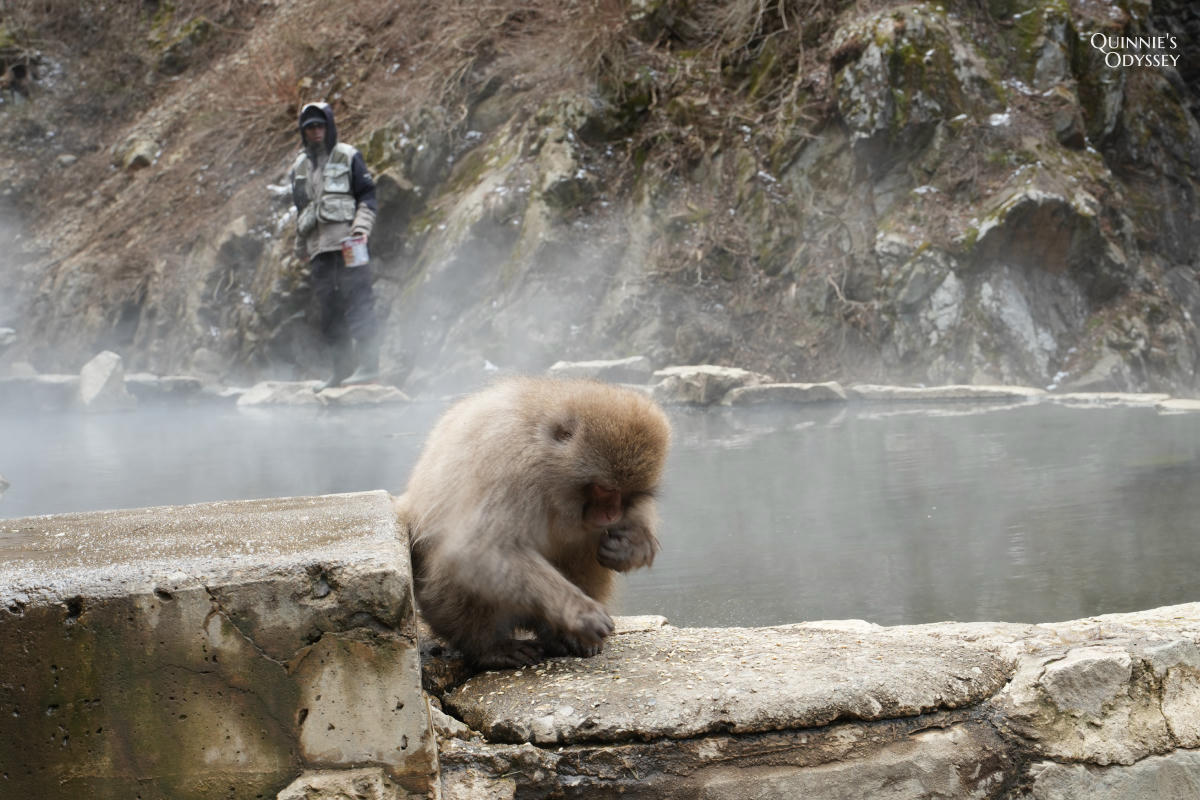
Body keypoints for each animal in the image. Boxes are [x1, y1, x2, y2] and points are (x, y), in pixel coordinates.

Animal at [397, 376, 671, 670]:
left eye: (628, 493)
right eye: (604, 489)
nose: (611, 515)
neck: (548, 466)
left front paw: (634, 546)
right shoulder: (509, 466)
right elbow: (477, 548)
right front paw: (579, 612)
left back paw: (561, 636)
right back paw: (488, 647)